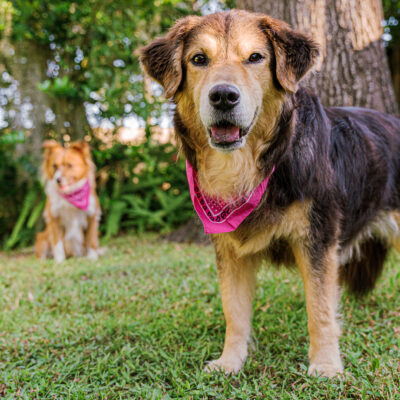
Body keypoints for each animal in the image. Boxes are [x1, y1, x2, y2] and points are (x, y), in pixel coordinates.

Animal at [140, 10, 400, 378]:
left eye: (255, 57)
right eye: (199, 59)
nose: (223, 96)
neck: (258, 167)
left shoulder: (317, 239)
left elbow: (319, 310)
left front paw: (325, 365)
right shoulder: (230, 251)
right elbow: (234, 312)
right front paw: (230, 361)